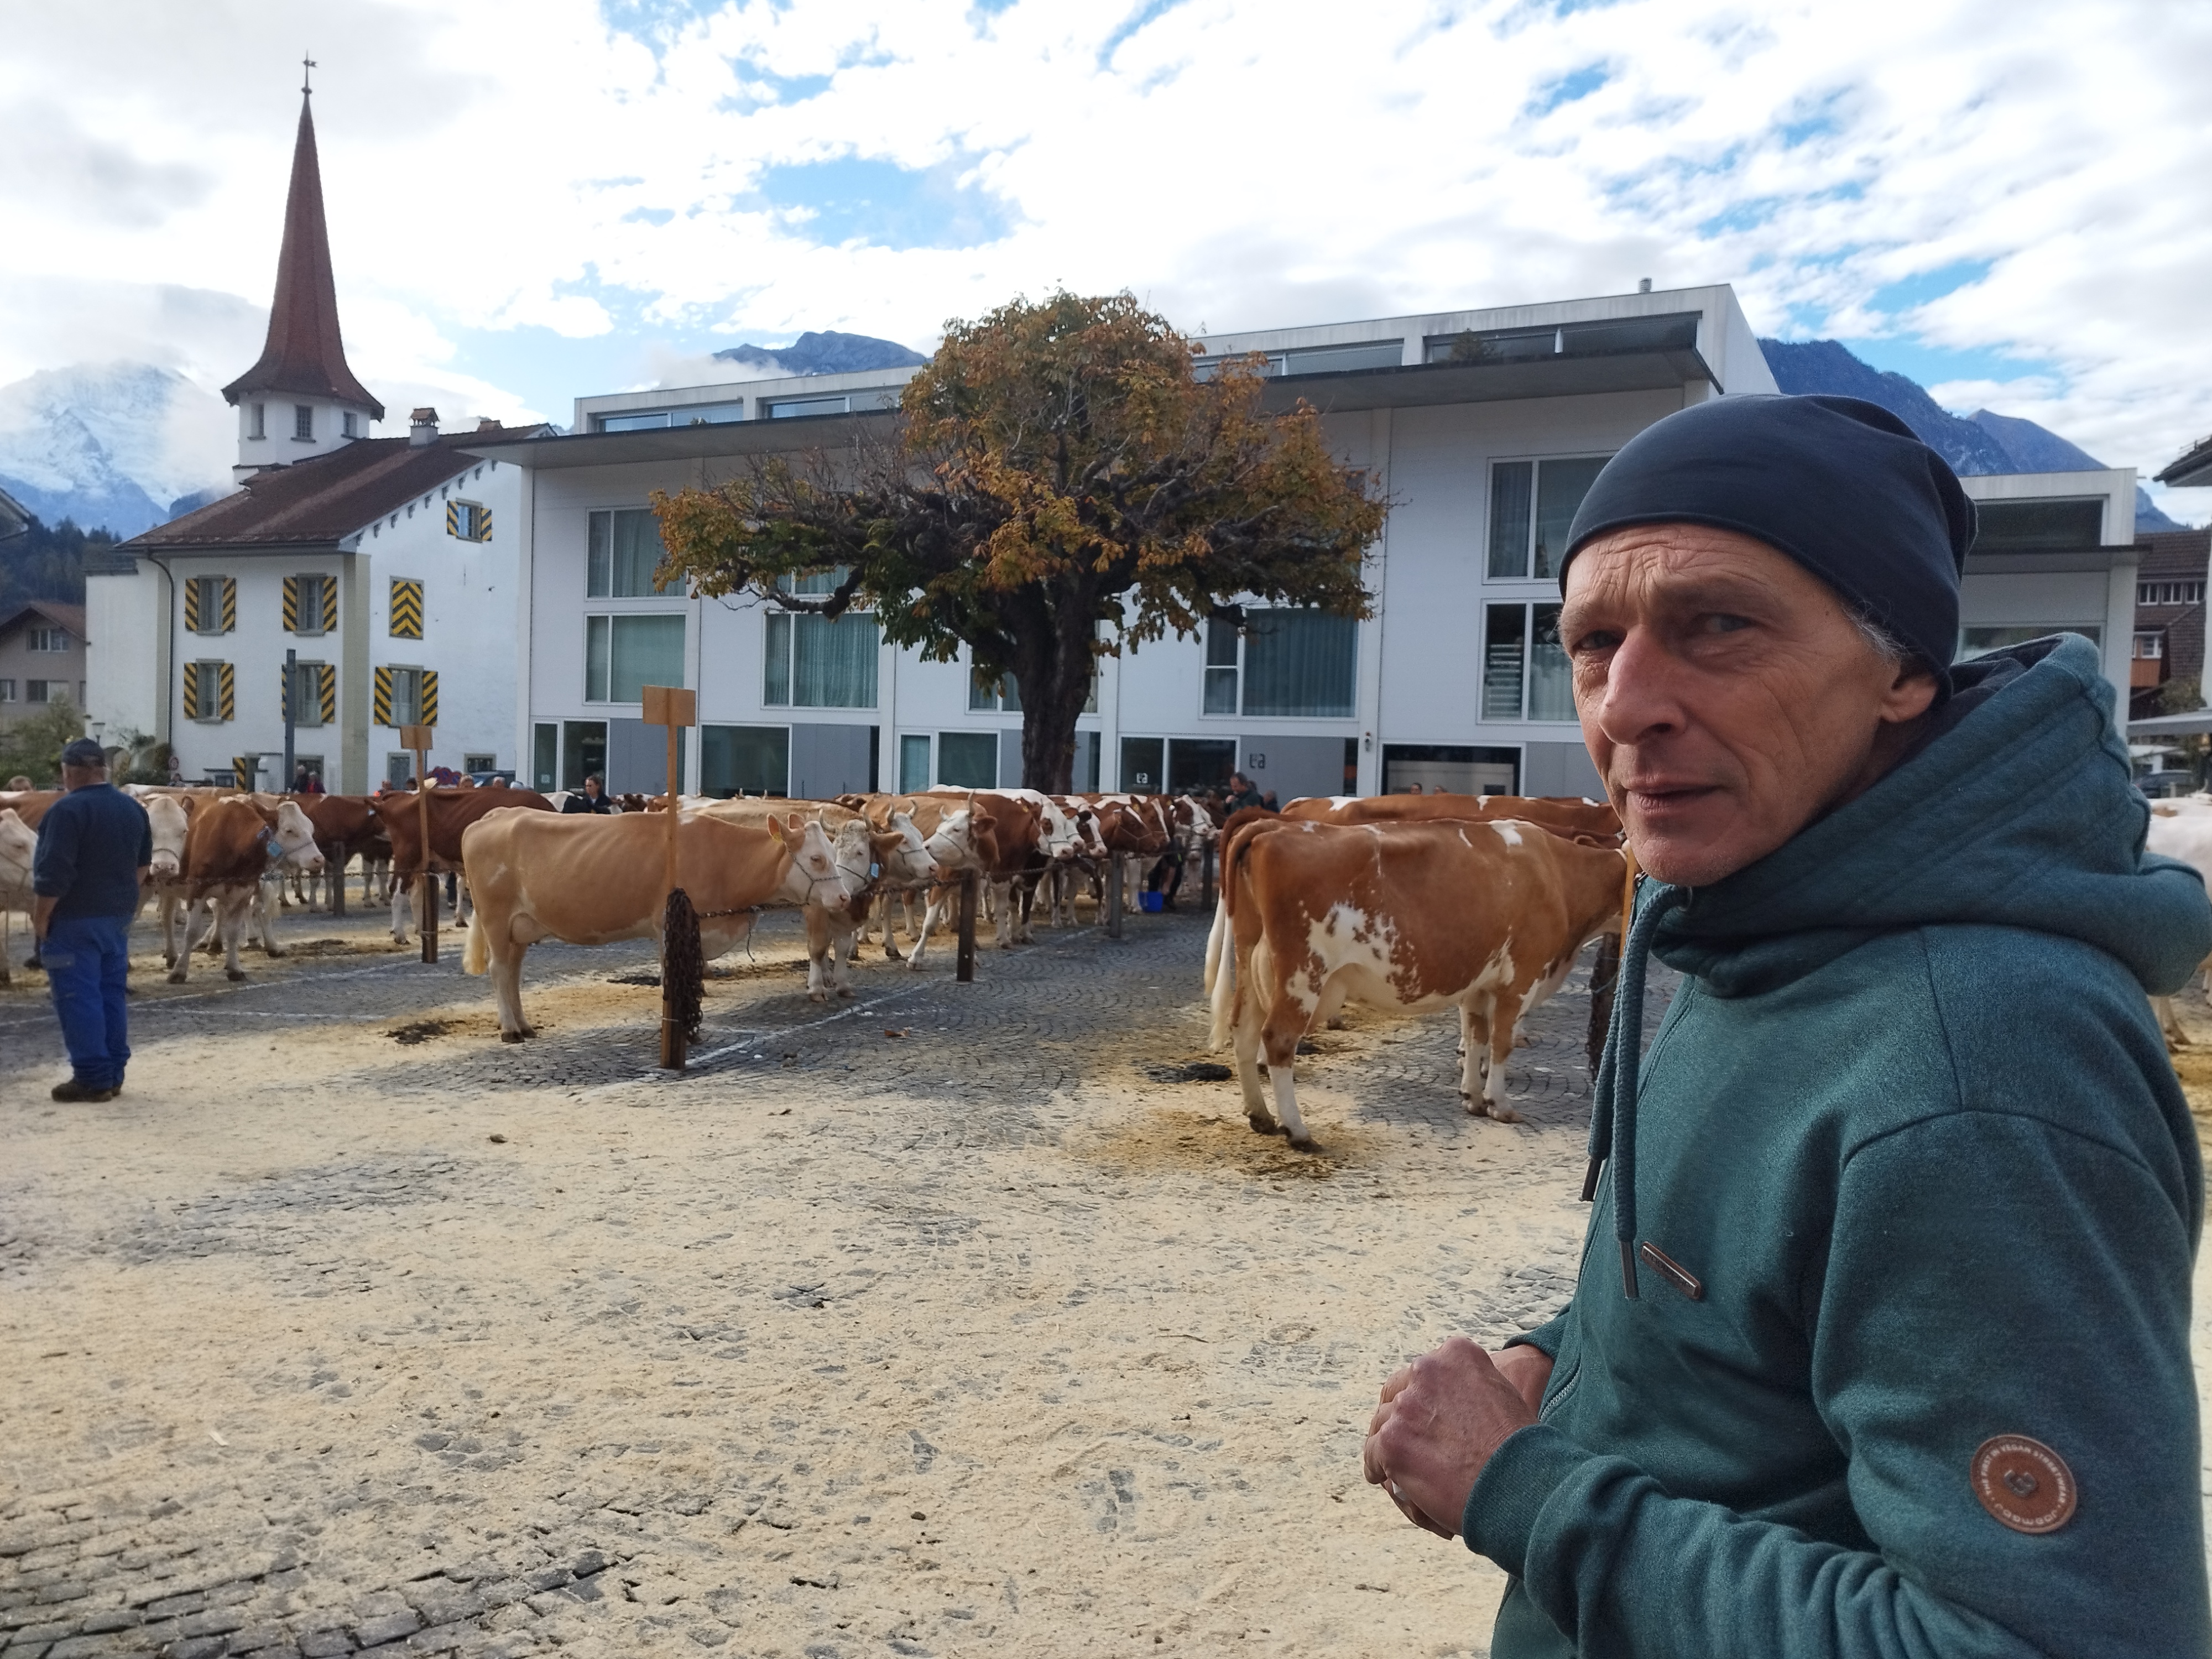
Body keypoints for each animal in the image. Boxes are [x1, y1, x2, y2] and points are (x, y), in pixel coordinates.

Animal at [167, 797, 326, 983]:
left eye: (311, 828)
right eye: (289, 830)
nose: (319, 859)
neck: (231, 838)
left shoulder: (244, 891)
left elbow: (234, 931)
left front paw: (234, 968)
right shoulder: (197, 889)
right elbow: (191, 932)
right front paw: (179, 971)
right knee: (168, 917)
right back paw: (174, 955)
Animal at [374, 786, 556, 943]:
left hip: (421, 862)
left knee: (415, 895)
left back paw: (421, 931)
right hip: (408, 855)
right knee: (397, 891)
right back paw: (400, 935)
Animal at [459, 808, 858, 1040]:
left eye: (834, 851)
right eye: (817, 858)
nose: (844, 898)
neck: (724, 860)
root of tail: (494, 816)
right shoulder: (669, 925)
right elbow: (673, 980)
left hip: (520, 927)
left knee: (513, 971)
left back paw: (524, 1024)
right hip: (495, 916)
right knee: (499, 970)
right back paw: (510, 1030)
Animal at [1208, 817, 1628, 1146]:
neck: (1557, 873)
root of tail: (1273, 827)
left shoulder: (1478, 983)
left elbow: (1476, 1036)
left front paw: (1473, 1098)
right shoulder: (1521, 977)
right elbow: (1501, 1043)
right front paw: (1500, 1105)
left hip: (1253, 960)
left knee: (1244, 1030)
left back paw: (1260, 1115)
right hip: (1303, 972)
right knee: (1277, 1038)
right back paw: (1297, 1130)